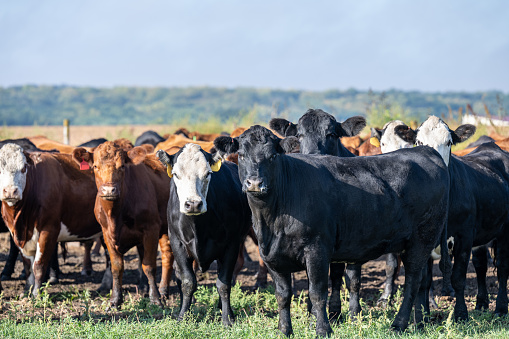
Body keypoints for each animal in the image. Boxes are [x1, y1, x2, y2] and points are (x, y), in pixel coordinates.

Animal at [0, 145, 104, 296]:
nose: (10, 191)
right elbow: (28, 266)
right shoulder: (17, 235)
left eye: (24, 168)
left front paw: (36, 294)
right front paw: (26, 290)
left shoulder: (48, 230)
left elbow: (38, 265)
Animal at [72, 142, 174, 310]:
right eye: (95, 166)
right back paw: (164, 292)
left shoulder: (151, 230)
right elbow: (117, 267)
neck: (116, 214)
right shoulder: (106, 234)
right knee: (167, 256)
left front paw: (155, 299)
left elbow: (149, 266)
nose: (109, 190)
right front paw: (115, 300)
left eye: (122, 167)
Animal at [155, 145, 250, 328]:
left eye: (208, 173)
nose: (193, 204)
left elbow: (224, 283)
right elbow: (187, 282)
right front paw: (183, 316)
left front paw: (228, 318)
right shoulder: (177, 242)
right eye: (176, 174)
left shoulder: (232, 244)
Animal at [214, 125, 448, 338]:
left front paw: (323, 330)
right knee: (421, 280)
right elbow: (283, 296)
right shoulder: (271, 256)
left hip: (422, 239)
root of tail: (425, 151)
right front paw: (284, 331)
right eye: (241, 155)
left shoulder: (316, 250)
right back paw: (420, 322)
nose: (254, 183)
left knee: (412, 281)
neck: (272, 219)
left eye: (272, 156)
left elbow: (317, 293)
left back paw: (399, 324)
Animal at [390, 115, 508, 320]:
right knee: (481, 265)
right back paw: (481, 303)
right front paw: (423, 317)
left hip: (505, 231)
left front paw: (461, 314)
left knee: (502, 266)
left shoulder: (464, 236)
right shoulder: (423, 237)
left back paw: (501, 308)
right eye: (419, 142)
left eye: (449, 142)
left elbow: (458, 278)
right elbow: (424, 280)